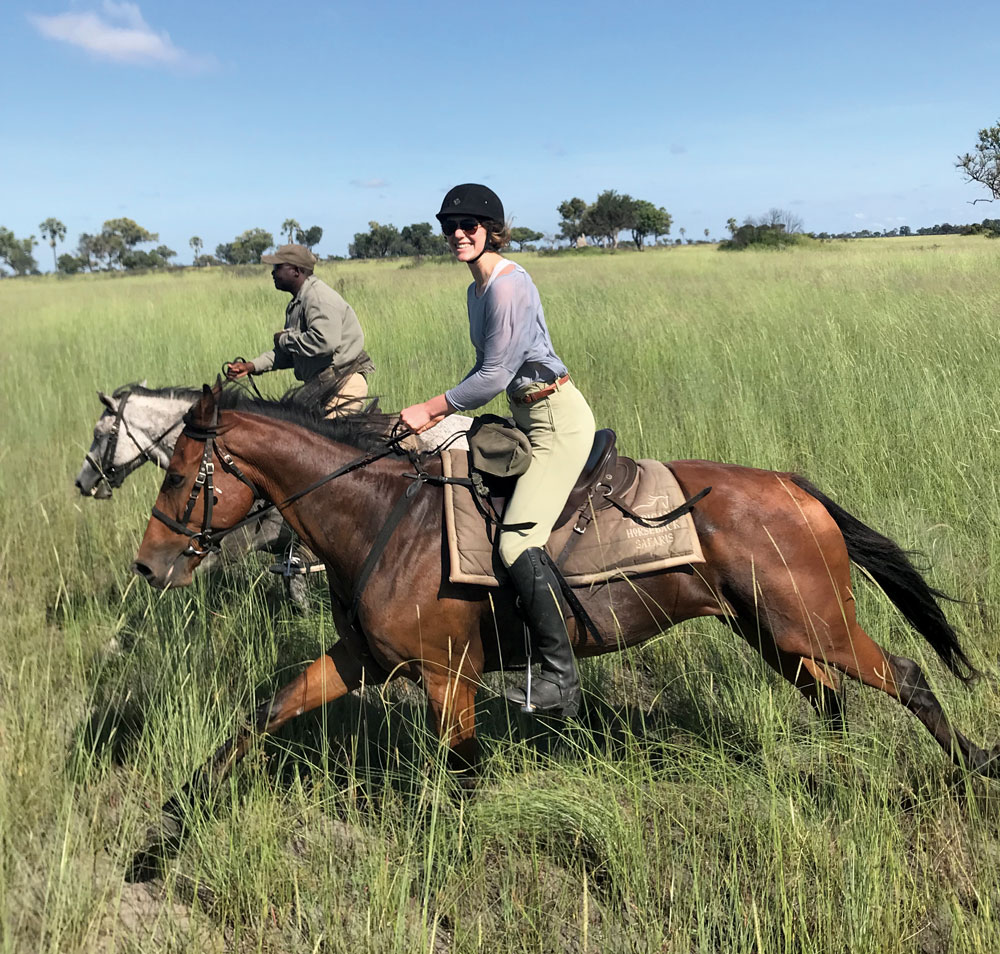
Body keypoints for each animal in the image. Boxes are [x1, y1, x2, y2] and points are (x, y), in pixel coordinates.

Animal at [133, 384, 1000, 808]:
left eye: (178, 476)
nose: (148, 568)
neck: (384, 519)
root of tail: (791, 486)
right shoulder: (362, 659)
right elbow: (267, 709)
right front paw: (174, 816)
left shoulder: (447, 680)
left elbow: (463, 775)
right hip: (771, 634)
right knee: (830, 700)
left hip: (816, 626)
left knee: (908, 679)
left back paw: (978, 765)